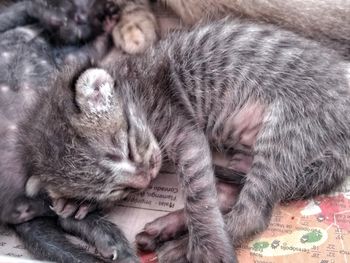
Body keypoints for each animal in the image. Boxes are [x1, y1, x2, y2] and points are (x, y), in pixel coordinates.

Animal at [20, 19, 350, 262]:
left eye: (126, 149)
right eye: (118, 190)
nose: (145, 179)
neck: (134, 86)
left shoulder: (183, 130)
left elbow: (199, 196)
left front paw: (208, 247)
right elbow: (207, 192)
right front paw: (76, 202)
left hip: (287, 127)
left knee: (252, 212)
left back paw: (182, 246)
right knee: (230, 192)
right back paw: (163, 230)